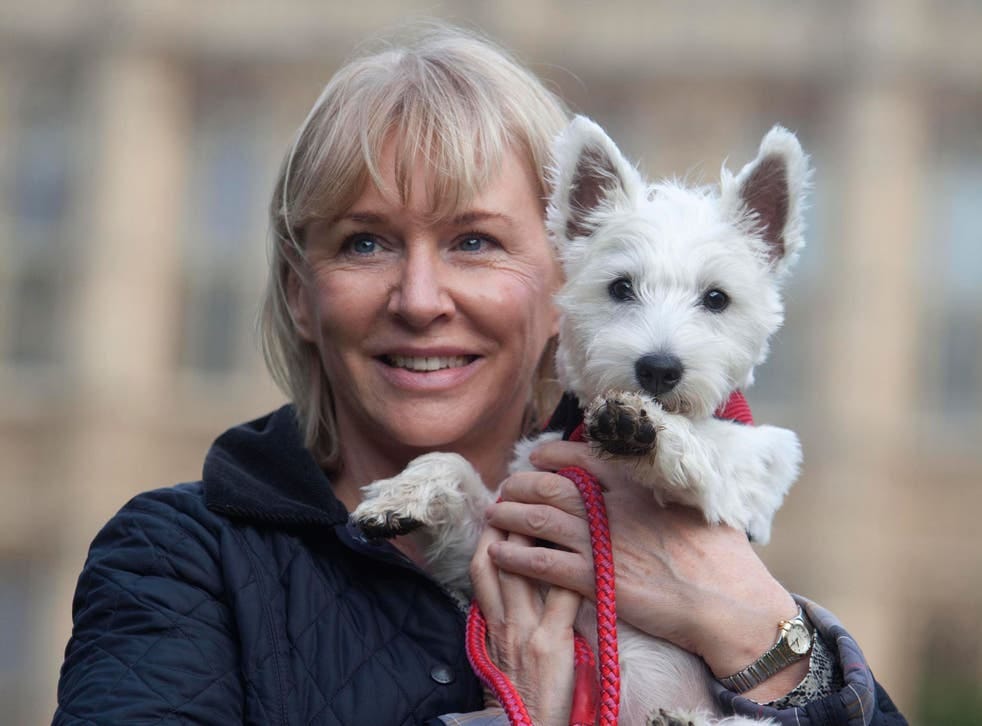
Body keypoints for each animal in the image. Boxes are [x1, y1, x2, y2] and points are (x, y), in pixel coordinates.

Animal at [354, 116, 808, 724]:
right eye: (620, 287)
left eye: (717, 299)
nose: (659, 368)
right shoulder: (495, 538)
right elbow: (453, 466)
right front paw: (399, 496)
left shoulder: (759, 472)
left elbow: (713, 449)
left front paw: (645, 429)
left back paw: (683, 718)